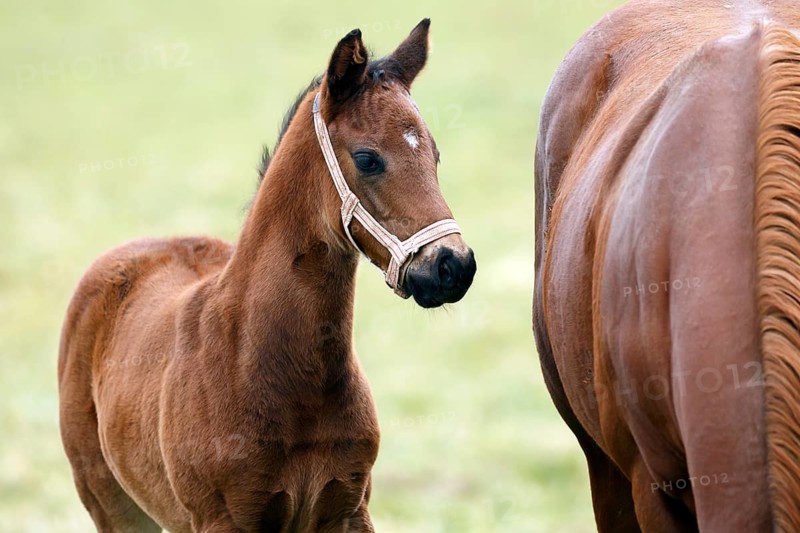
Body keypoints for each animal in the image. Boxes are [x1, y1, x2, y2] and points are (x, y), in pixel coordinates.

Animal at [58, 19, 476, 532]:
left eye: (434, 155)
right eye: (367, 158)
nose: (453, 266)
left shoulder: (349, 510)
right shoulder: (223, 520)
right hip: (110, 502)